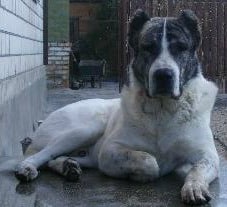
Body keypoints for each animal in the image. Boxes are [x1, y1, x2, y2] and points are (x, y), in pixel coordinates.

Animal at [15, 9, 219, 205]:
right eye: (148, 47)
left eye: (181, 48)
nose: (163, 75)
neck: (162, 109)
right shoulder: (109, 151)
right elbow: (148, 160)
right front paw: (143, 173)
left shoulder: (208, 155)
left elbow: (198, 168)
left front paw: (194, 187)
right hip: (86, 128)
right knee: (42, 154)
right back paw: (27, 168)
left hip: (86, 152)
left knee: (54, 159)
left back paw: (68, 166)